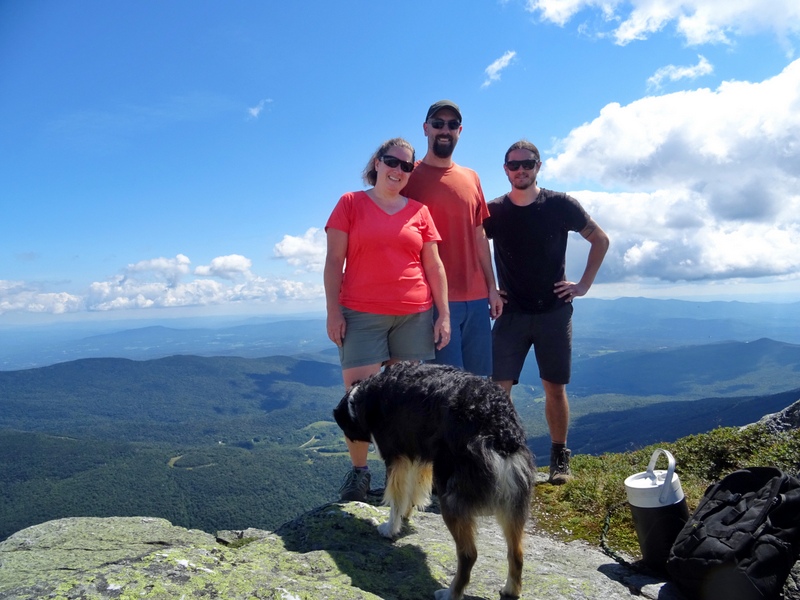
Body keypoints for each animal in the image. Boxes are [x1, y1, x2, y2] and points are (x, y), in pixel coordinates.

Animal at [334, 360, 536, 600]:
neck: (362, 397)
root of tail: (499, 431)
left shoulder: (396, 457)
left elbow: (396, 498)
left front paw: (390, 528)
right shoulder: (418, 456)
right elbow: (411, 492)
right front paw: (406, 515)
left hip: (450, 495)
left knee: (469, 554)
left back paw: (450, 593)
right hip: (514, 499)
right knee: (516, 552)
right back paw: (510, 590)